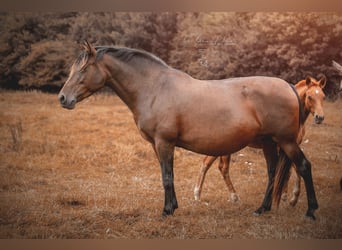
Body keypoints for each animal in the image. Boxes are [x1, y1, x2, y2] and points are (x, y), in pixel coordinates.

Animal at [195, 76, 326, 207]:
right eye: (310, 97)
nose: (319, 118)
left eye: (323, 97)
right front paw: (291, 197)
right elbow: (290, 170)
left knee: (211, 164)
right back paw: (210, 195)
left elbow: (287, 170)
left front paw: (285, 197)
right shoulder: (284, 145)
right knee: (218, 166)